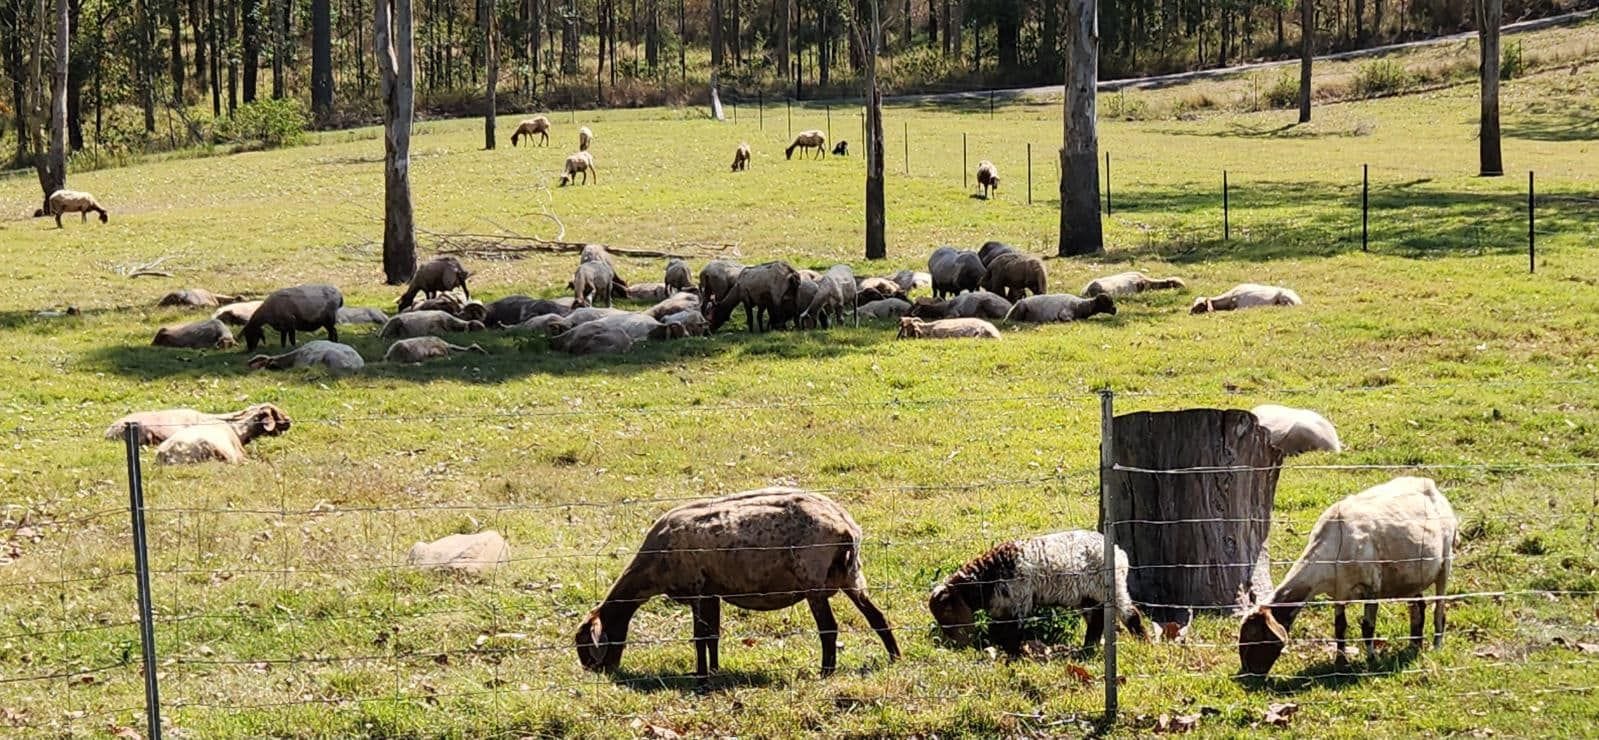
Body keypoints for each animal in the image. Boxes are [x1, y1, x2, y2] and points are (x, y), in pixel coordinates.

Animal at [575, 489, 901, 687]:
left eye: (586, 646)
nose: (597, 672)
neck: (651, 571)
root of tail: (846, 527)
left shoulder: (696, 589)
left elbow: (699, 637)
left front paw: (701, 678)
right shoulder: (712, 592)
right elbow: (713, 636)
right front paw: (714, 671)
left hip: (814, 580)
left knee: (829, 629)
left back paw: (825, 672)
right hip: (852, 577)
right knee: (878, 617)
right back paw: (894, 658)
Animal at [927, 530, 1151, 658]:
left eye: (947, 612)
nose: (957, 643)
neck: (988, 576)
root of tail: (1119, 553)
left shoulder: (1018, 599)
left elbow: (1010, 632)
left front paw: (1015, 655)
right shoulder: (1002, 607)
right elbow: (998, 630)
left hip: (1111, 587)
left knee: (1130, 614)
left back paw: (1144, 642)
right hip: (1089, 595)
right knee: (1096, 621)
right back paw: (1087, 650)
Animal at [1234, 476, 1464, 677]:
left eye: (1255, 636)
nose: (1248, 673)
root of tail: (1432, 486)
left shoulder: (1371, 586)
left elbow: (1367, 627)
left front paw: (1372, 659)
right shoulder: (1339, 592)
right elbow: (1340, 627)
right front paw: (1340, 661)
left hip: (1446, 560)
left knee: (1439, 607)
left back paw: (1436, 645)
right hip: (1413, 573)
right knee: (1419, 606)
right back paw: (1415, 643)